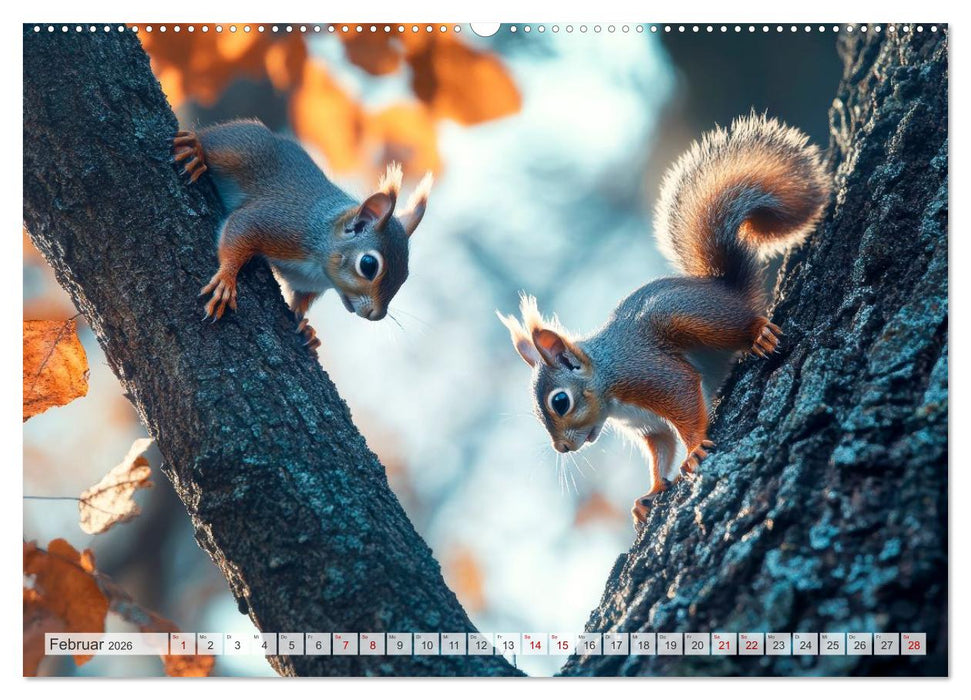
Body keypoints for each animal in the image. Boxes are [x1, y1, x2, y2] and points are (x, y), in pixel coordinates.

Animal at [172, 119, 433, 352]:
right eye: (368, 265)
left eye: (405, 276)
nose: (376, 315)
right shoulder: (280, 224)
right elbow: (240, 229)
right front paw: (226, 279)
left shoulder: (307, 283)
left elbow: (301, 301)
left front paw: (306, 327)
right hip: (241, 148)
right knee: (211, 142)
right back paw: (196, 149)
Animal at [497, 114, 831, 525]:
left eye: (560, 402)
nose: (562, 448)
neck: (610, 389)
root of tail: (727, 287)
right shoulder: (649, 427)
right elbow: (661, 450)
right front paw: (650, 492)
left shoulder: (649, 374)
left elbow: (685, 401)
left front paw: (695, 449)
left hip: (690, 316)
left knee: (741, 323)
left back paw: (757, 334)